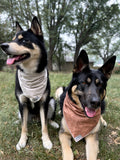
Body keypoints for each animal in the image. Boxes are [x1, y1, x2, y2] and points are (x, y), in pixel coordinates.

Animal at [0, 16, 58, 151]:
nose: (3, 45)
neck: (31, 73)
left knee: (48, 119)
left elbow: (44, 125)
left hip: (51, 101)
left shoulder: (43, 102)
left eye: (24, 40)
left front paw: (46, 141)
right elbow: (24, 126)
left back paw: (53, 123)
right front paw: (22, 141)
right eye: (13, 40)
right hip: (20, 108)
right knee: (24, 120)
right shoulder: (22, 103)